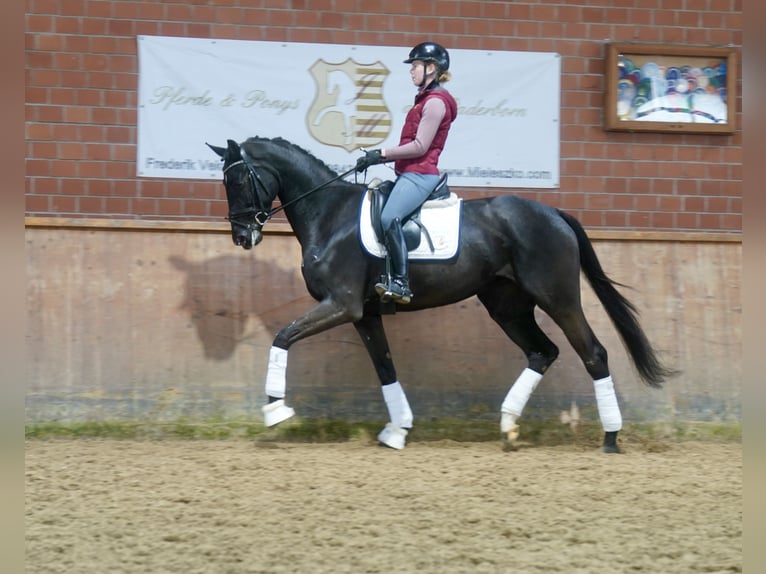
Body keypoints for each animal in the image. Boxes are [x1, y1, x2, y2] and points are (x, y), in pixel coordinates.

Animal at [207, 138, 676, 454]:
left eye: (239, 179)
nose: (242, 236)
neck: (330, 215)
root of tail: (554, 213)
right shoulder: (363, 314)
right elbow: (385, 368)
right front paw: (397, 429)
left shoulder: (341, 305)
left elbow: (283, 336)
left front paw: (275, 411)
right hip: (507, 305)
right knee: (543, 352)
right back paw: (508, 427)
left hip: (557, 298)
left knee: (593, 353)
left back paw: (610, 437)